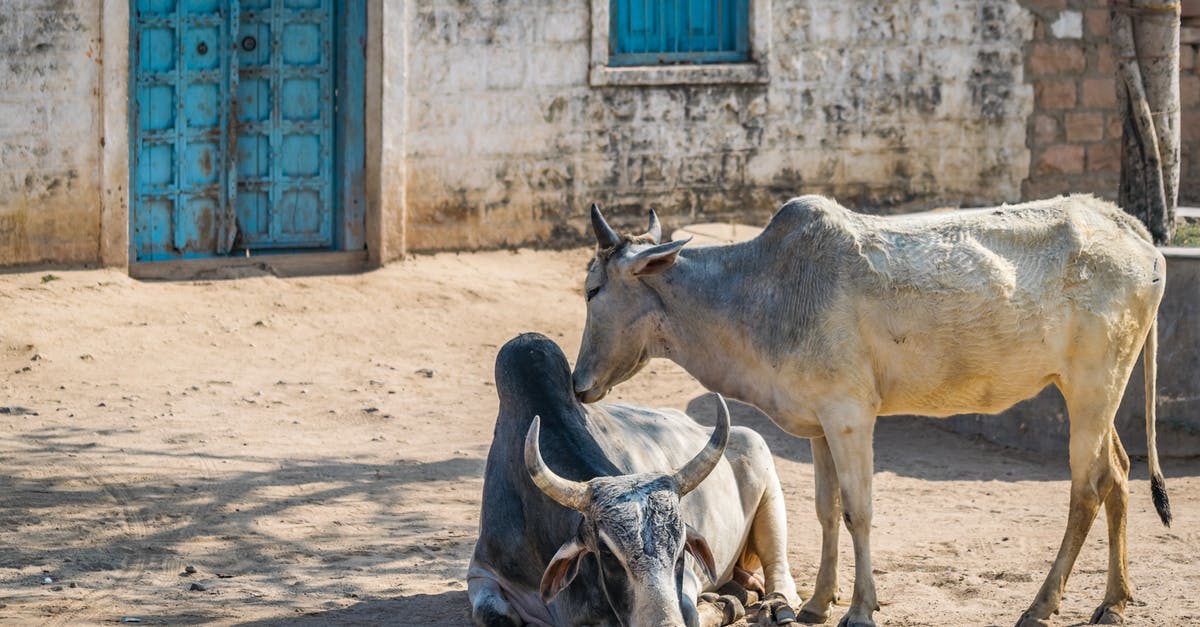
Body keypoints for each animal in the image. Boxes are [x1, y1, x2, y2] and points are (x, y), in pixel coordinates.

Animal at [465, 329, 796, 619]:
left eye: (681, 548)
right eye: (607, 553)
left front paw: (723, 604)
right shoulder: (482, 572)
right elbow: (492, 614)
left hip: (764, 470)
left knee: (780, 571)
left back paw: (774, 605)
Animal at [573, 196, 1171, 624]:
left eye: (593, 289)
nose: (578, 385)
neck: (761, 290)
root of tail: (1135, 232)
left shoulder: (849, 414)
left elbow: (858, 510)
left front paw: (860, 609)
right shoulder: (819, 426)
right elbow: (826, 509)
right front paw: (817, 603)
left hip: (1093, 388)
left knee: (1087, 488)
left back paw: (1042, 605)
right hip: (1096, 391)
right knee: (1118, 474)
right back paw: (1114, 601)